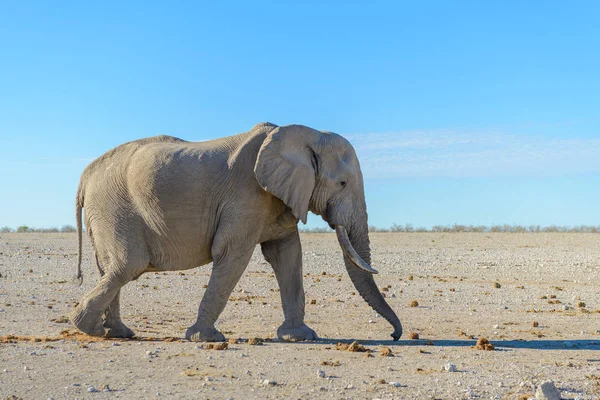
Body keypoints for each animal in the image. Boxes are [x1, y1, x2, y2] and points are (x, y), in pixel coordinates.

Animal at [69, 122, 404, 340]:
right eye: (343, 183)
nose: (394, 335)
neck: (306, 134)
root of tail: (84, 176)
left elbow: (287, 255)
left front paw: (299, 336)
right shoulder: (246, 194)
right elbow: (232, 253)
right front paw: (205, 339)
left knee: (111, 269)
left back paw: (117, 333)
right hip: (115, 208)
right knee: (128, 266)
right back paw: (88, 328)